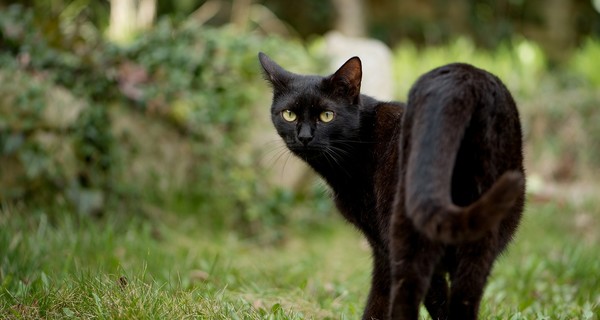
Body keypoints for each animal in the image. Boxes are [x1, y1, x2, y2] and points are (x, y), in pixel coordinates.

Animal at [258, 51, 524, 318]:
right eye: (289, 114)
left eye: (326, 115)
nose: (304, 137)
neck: (363, 141)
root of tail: (464, 79)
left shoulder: (382, 243)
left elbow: (380, 297)